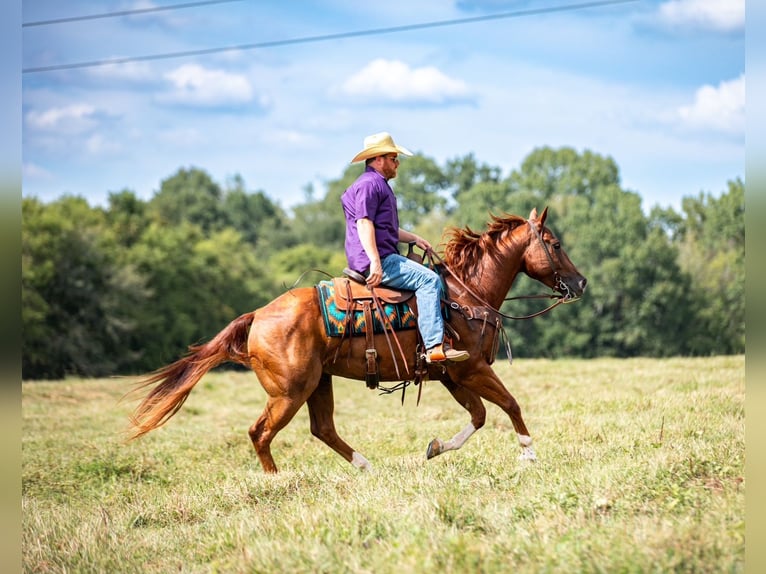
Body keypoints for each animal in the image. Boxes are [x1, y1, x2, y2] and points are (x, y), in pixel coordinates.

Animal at [128, 207, 586, 473]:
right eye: (555, 243)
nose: (581, 282)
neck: (464, 294)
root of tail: (257, 316)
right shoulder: (471, 369)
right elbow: (509, 404)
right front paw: (528, 453)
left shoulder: (453, 376)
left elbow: (479, 416)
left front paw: (435, 447)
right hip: (289, 392)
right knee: (261, 432)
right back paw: (276, 481)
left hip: (318, 383)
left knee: (323, 429)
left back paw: (365, 465)